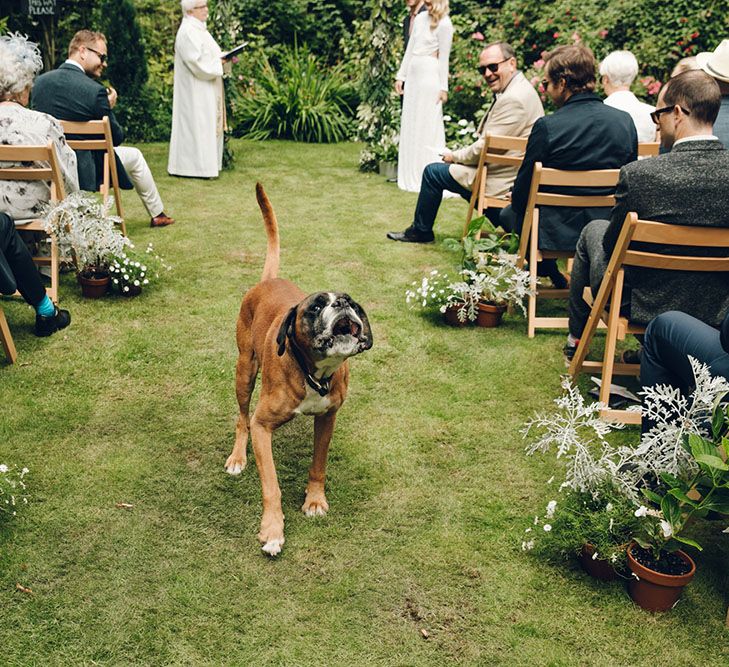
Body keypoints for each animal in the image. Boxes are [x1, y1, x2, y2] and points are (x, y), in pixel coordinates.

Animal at [225, 184, 372, 560]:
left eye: (351, 301)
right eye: (317, 306)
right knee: (241, 418)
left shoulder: (328, 417)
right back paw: (237, 457)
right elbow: (271, 484)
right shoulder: (262, 427)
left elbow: (319, 464)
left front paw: (315, 500)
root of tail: (269, 280)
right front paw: (273, 530)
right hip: (244, 371)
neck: (314, 373)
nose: (342, 303)